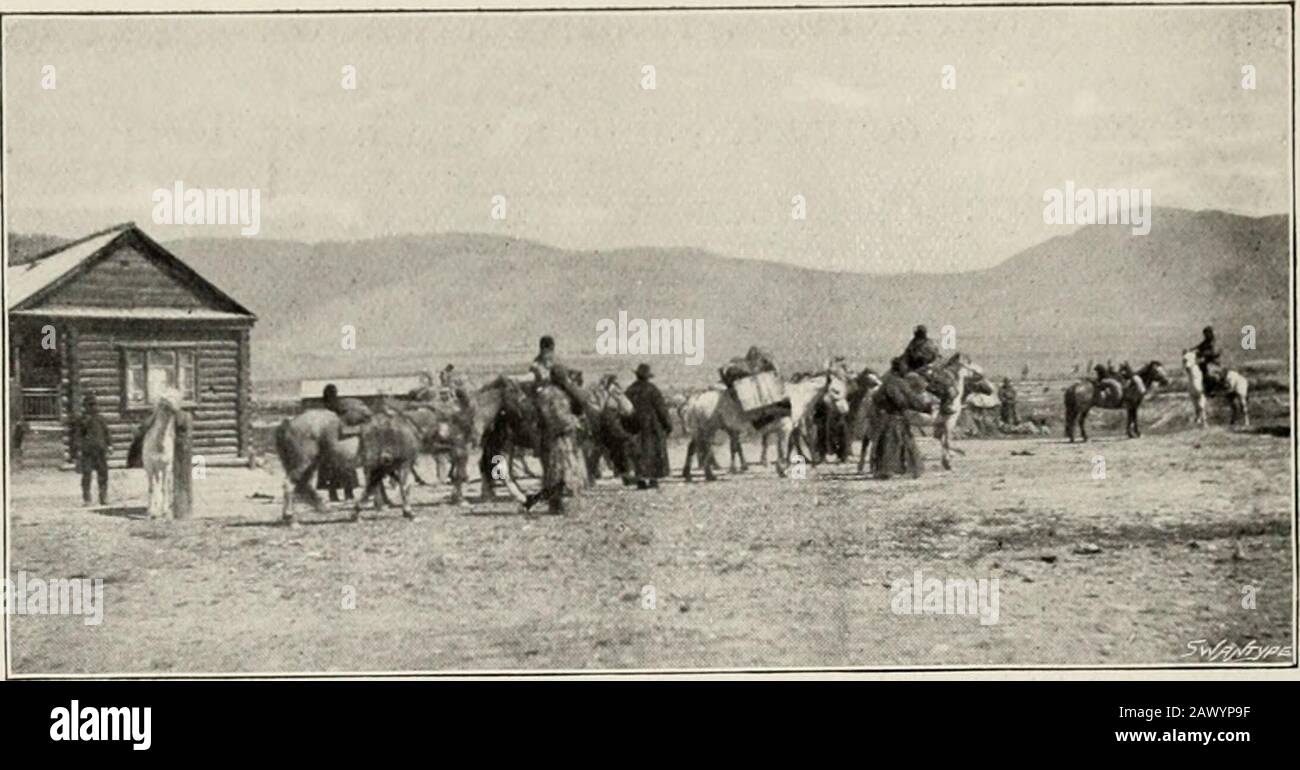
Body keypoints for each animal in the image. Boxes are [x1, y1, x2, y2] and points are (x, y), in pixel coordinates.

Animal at [681, 371, 852, 481]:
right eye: (836, 391)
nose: (846, 410)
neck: (795, 397)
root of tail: (697, 398)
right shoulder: (785, 430)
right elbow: (783, 449)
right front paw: (783, 470)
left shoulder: (785, 430)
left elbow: (784, 448)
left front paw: (782, 469)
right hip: (707, 430)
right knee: (703, 449)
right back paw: (707, 474)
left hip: (704, 431)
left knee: (697, 449)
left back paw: (695, 474)